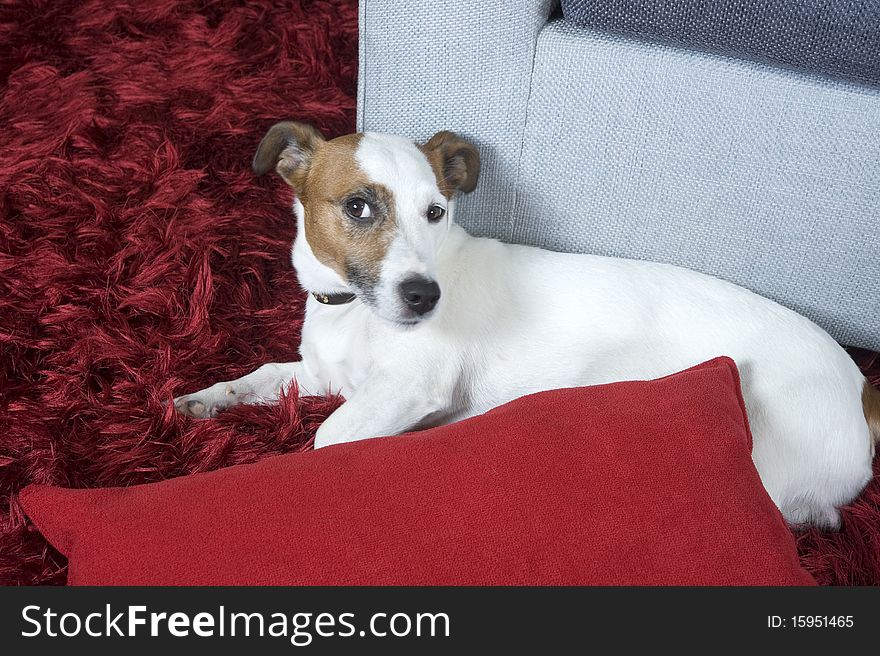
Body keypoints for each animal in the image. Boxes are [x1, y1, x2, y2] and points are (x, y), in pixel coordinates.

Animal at [174, 119, 880, 528]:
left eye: (436, 212)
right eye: (358, 206)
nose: (425, 297)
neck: (352, 310)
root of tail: (859, 386)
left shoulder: (406, 388)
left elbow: (328, 437)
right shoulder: (322, 373)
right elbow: (258, 377)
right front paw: (202, 400)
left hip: (762, 456)